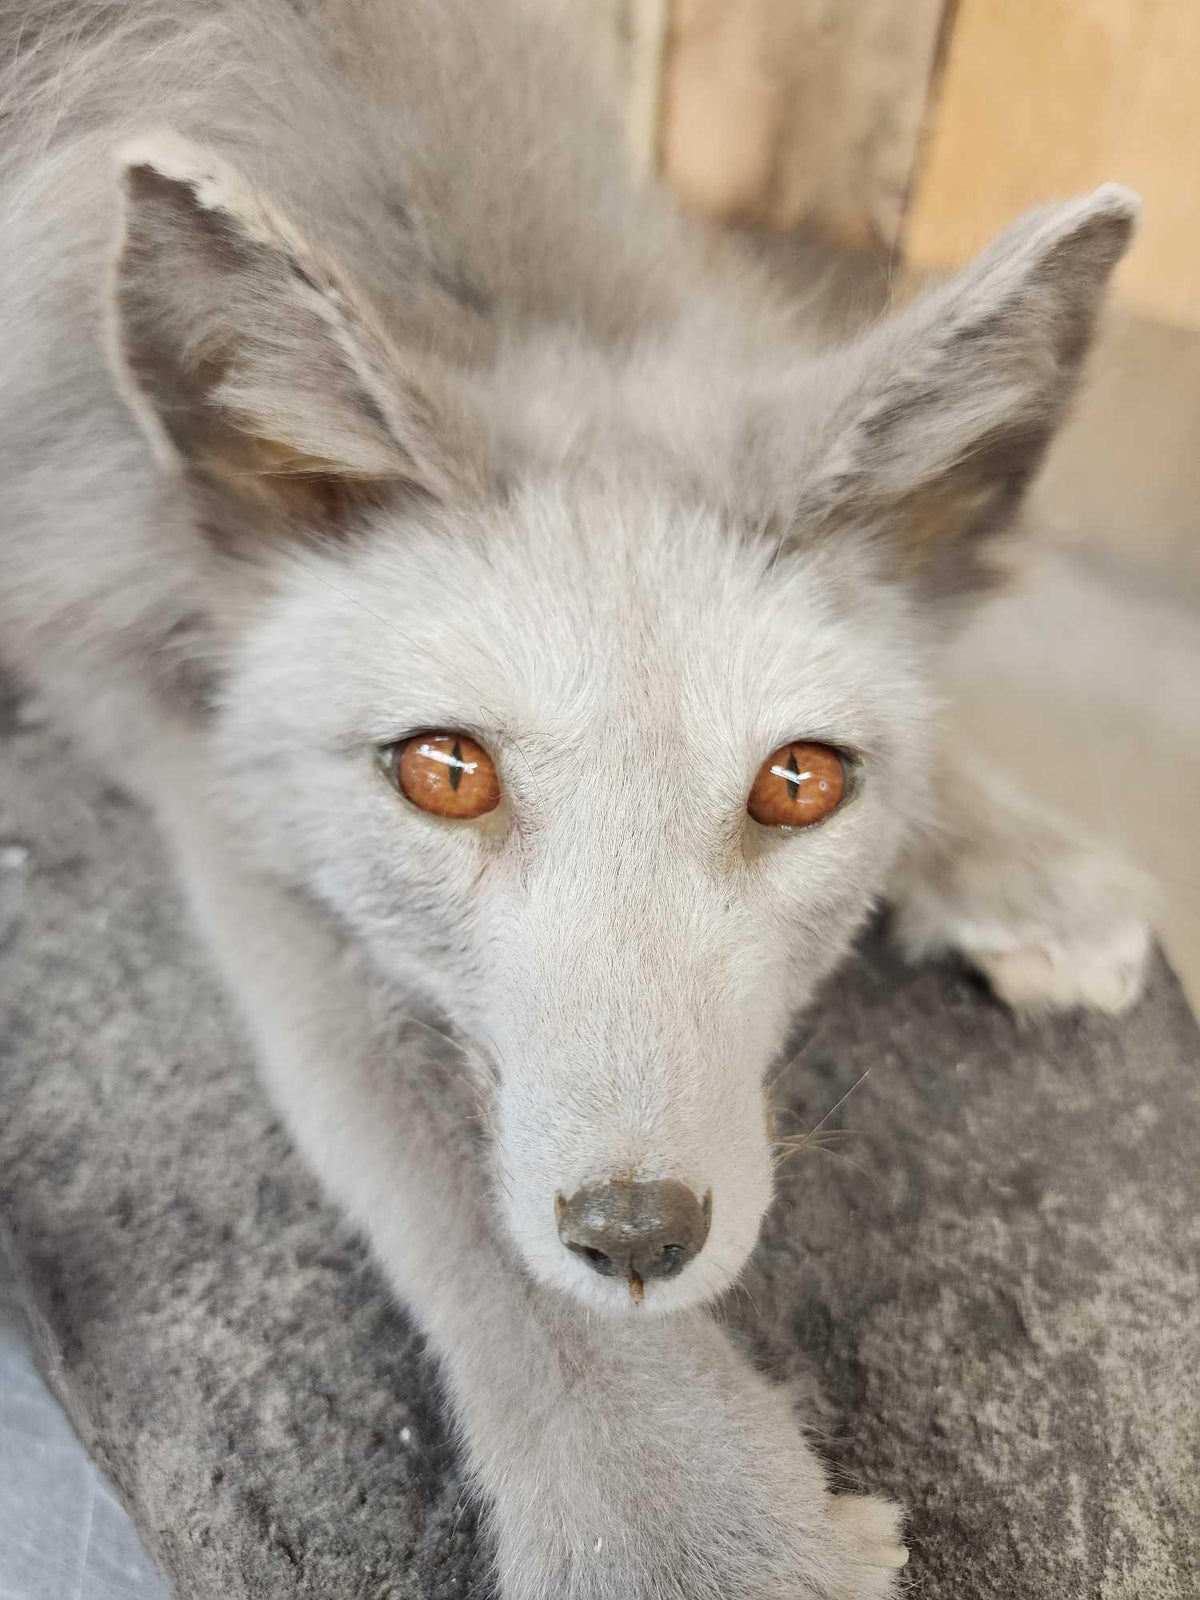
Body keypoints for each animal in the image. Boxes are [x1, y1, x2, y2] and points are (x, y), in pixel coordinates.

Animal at [0, 2, 1156, 1595]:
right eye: (445, 774)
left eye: (800, 782)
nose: (636, 1239)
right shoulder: (157, 705)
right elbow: (412, 1120)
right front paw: (684, 1525)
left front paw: (1010, 856)